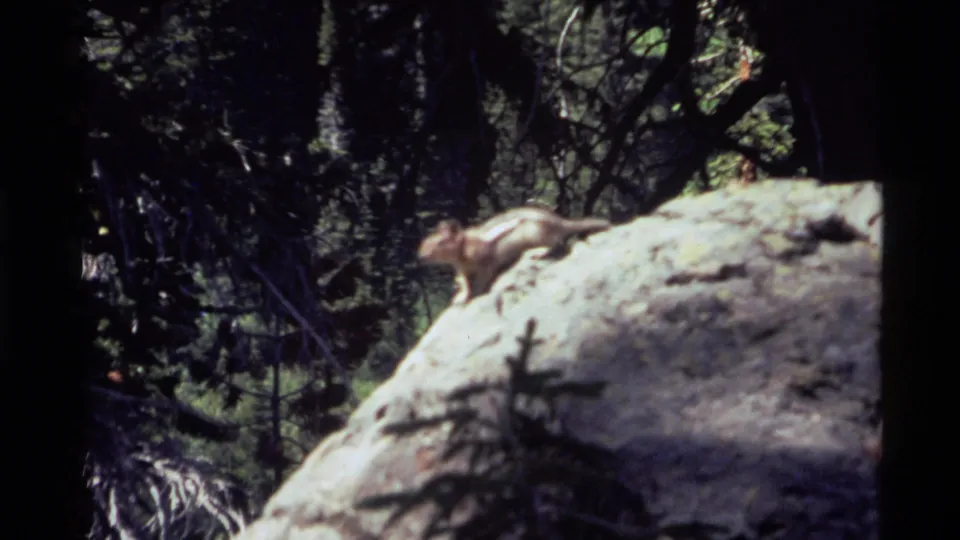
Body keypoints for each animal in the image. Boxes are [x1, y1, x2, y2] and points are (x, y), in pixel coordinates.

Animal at [418, 206, 611, 305]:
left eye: (440, 243)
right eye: (426, 240)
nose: (421, 256)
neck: (463, 249)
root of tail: (560, 222)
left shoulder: (485, 264)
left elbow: (481, 281)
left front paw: (474, 295)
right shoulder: (463, 270)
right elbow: (465, 283)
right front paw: (461, 295)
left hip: (538, 235)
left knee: (557, 243)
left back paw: (538, 253)